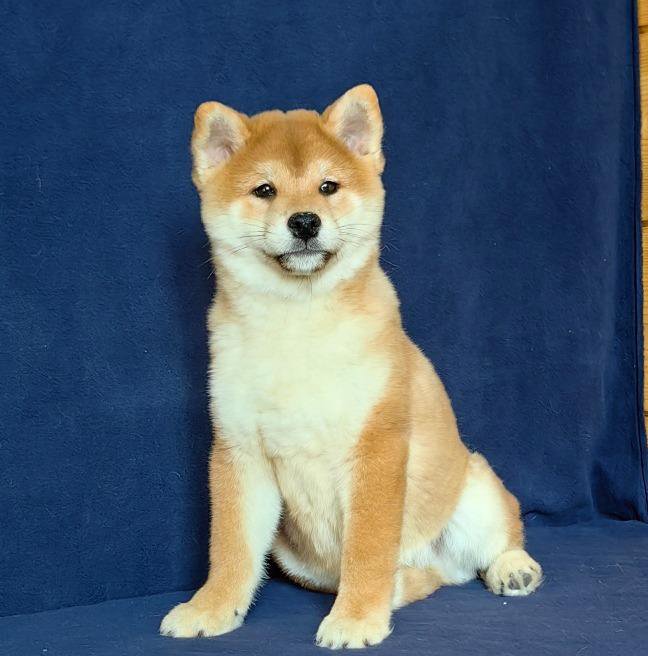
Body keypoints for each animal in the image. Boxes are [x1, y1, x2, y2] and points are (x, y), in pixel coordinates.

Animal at [160, 85, 542, 649]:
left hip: (475, 490)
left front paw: (357, 618)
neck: (296, 323)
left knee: (499, 535)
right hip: (301, 558)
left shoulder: (376, 446)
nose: (304, 221)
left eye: (328, 186)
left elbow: (368, 548)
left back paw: (511, 567)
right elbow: (230, 548)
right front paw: (212, 607)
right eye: (265, 190)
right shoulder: (239, 450)